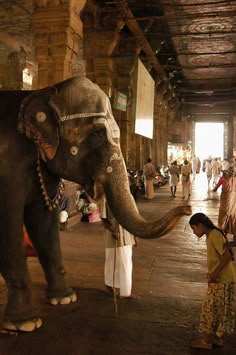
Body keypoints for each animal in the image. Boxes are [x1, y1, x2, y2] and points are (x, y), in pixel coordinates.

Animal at [0, 76, 192, 334]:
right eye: (96, 135)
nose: (189, 210)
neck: (40, 94)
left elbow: (44, 222)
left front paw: (64, 298)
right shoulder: (6, 169)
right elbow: (9, 226)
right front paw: (25, 323)